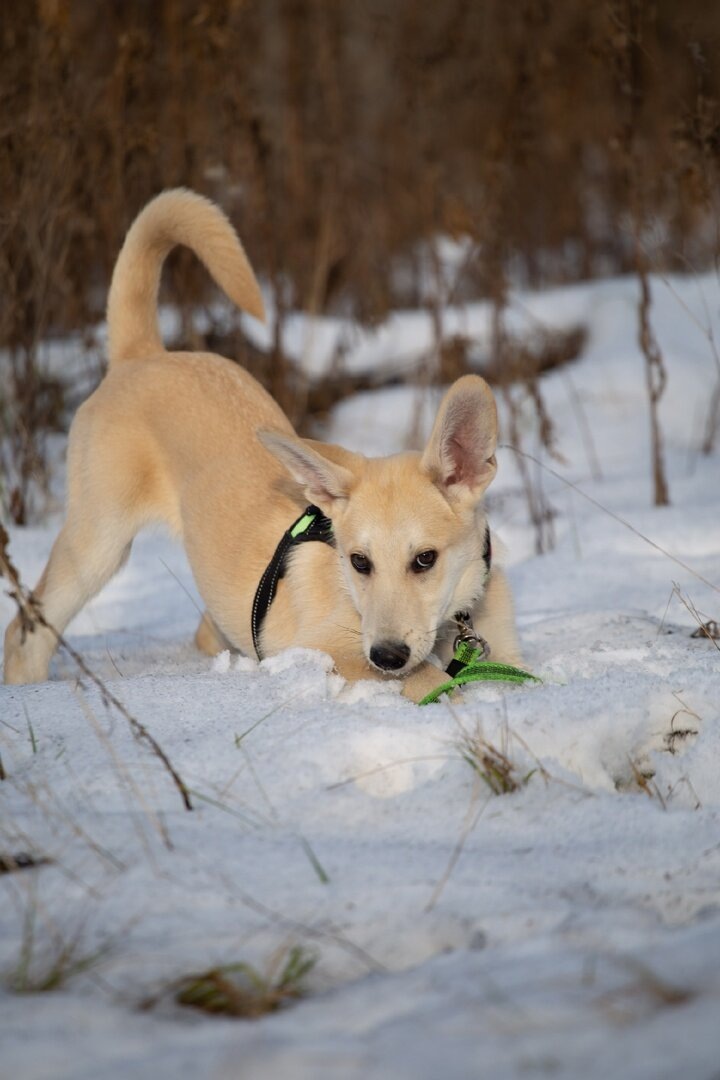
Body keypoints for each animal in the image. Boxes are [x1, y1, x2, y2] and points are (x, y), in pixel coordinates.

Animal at [2, 186, 520, 699]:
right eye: (359, 562)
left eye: (425, 559)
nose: (387, 655)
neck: (453, 621)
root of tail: (142, 354)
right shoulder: (327, 645)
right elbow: (430, 679)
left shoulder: (503, 655)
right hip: (97, 540)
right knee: (25, 630)